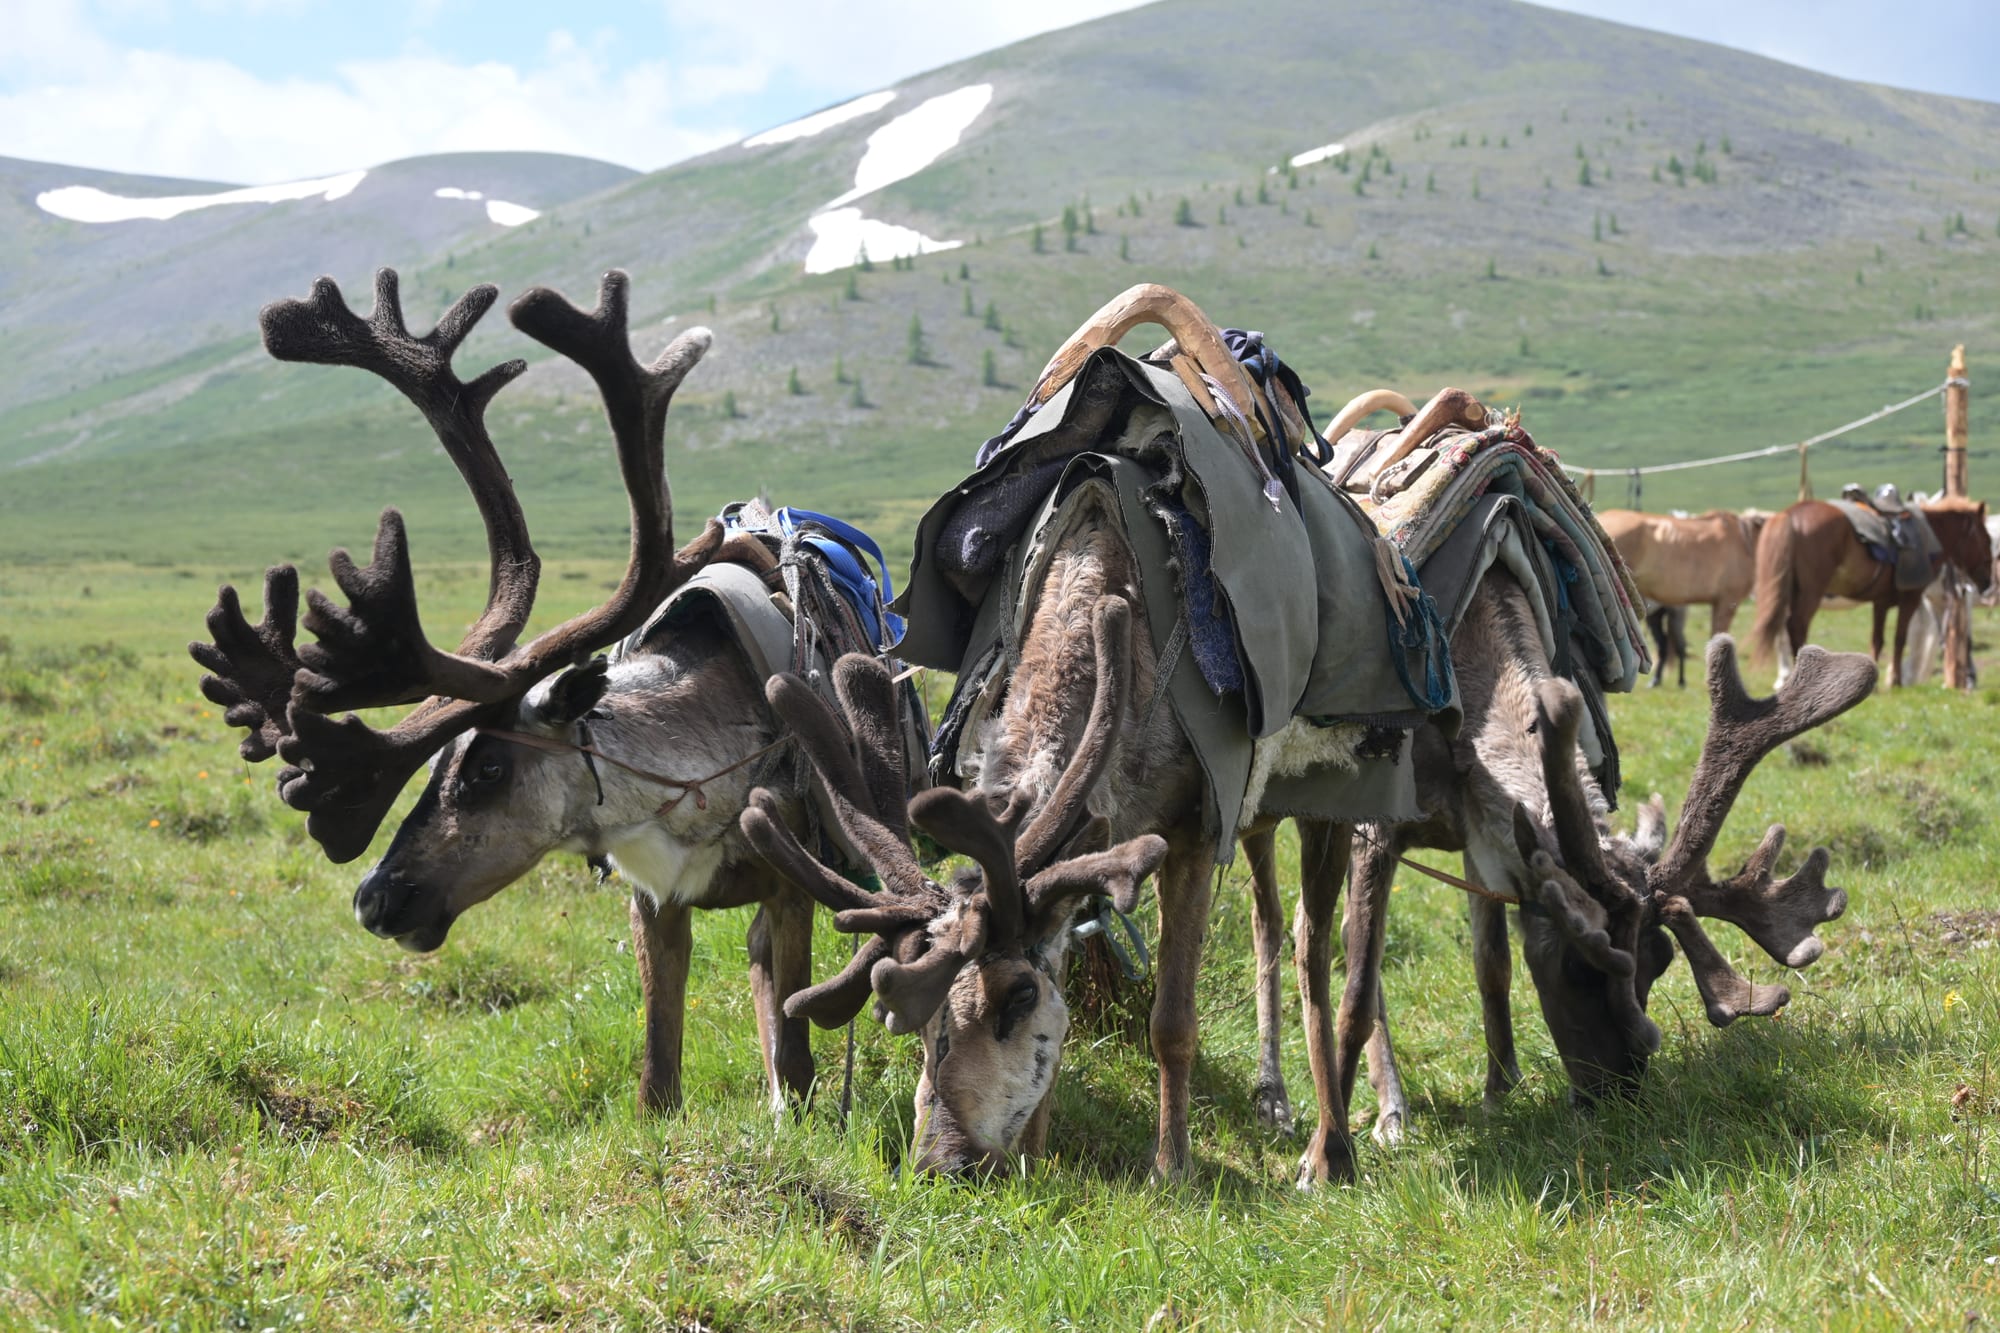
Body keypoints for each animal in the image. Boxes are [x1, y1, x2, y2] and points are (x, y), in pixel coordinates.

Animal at [191, 268, 909, 1118]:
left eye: (488, 768)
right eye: (435, 768)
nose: (373, 898)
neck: (699, 776)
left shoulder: (790, 884)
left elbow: (792, 1062)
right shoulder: (652, 900)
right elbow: (657, 1075)